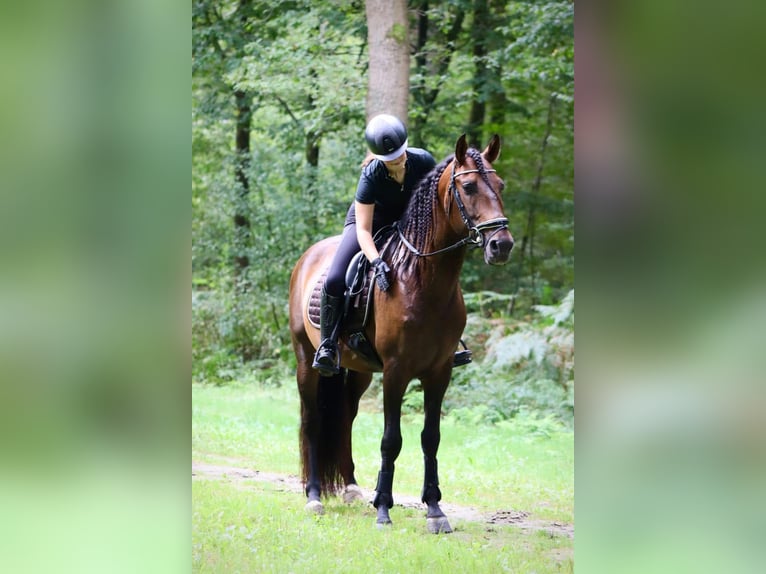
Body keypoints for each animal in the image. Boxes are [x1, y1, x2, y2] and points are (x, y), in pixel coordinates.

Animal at [288, 134, 514, 533]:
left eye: (500, 186)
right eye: (469, 187)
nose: (501, 245)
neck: (422, 279)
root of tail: (307, 257)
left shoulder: (439, 372)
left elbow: (430, 438)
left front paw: (435, 509)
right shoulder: (396, 371)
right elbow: (391, 440)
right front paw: (383, 509)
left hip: (359, 372)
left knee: (344, 418)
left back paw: (351, 488)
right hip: (307, 362)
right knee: (313, 422)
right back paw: (314, 496)